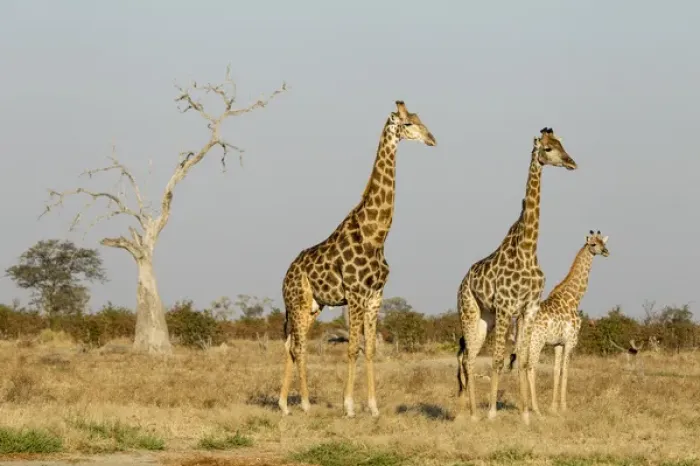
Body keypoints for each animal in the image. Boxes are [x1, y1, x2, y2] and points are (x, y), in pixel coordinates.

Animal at [278, 101, 437, 417]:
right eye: (408, 124)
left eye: (420, 119)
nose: (431, 139)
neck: (375, 236)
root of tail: (284, 277)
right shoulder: (354, 293)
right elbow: (352, 348)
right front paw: (349, 406)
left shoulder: (375, 296)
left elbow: (370, 349)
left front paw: (373, 407)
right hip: (298, 302)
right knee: (299, 347)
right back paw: (304, 403)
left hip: (313, 307)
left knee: (291, 344)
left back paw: (283, 404)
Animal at [456, 127, 577, 424]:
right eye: (547, 149)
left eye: (562, 144)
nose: (571, 162)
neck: (528, 250)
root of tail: (462, 281)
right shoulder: (505, 307)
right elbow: (499, 360)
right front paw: (492, 413)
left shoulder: (529, 309)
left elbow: (522, 360)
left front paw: (526, 415)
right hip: (470, 311)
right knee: (468, 359)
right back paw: (473, 414)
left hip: (485, 318)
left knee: (469, 358)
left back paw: (471, 412)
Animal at [509, 230, 609, 415]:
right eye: (593, 244)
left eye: (603, 242)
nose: (606, 251)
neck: (574, 298)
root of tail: (520, 318)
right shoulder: (570, 341)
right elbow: (565, 370)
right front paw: (564, 407)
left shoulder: (558, 343)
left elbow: (556, 370)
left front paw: (553, 407)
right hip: (536, 342)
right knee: (530, 367)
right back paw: (535, 409)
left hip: (521, 342)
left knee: (521, 366)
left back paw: (522, 406)